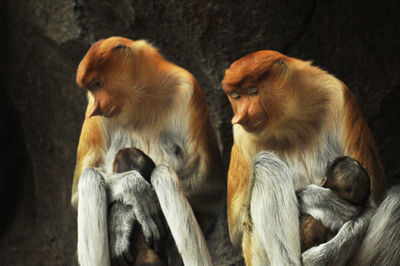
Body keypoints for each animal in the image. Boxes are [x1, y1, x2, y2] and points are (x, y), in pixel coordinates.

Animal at [71, 36, 239, 264]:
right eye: (91, 89)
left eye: (98, 83)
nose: (96, 108)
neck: (140, 99)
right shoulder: (93, 120)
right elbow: (76, 197)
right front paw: (132, 192)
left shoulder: (188, 88)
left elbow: (210, 184)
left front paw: (122, 213)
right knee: (89, 177)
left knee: (163, 174)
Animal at [222, 50, 400, 266]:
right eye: (236, 96)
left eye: (253, 91)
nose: (240, 116)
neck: (292, 123)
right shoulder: (242, 136)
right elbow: (238, 229)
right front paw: (326, 204)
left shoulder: (339, 96)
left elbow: (373, 202)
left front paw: (320, 257)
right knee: (267, 166)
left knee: (396, 202)